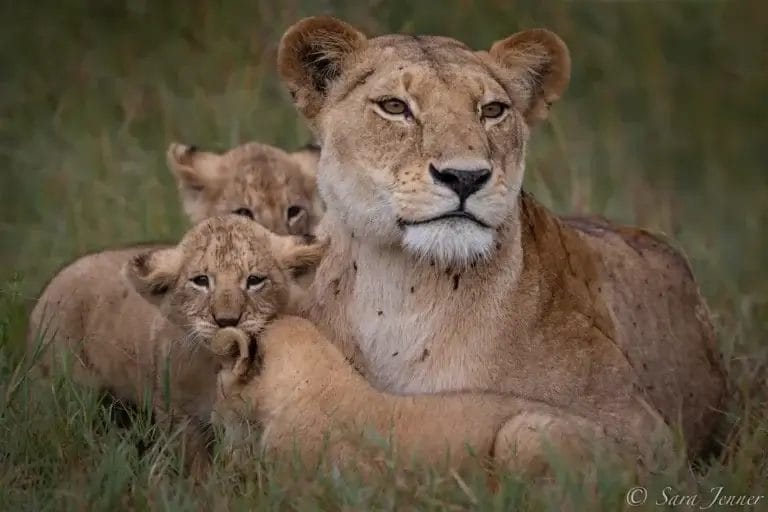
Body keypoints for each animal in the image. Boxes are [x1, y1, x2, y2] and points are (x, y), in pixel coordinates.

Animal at [28, 215, 325, 474]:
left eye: (254, 280)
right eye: (201, 281)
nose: (226, 320)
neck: (218, 366)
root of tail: (55, 281)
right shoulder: (179, 414)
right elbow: (196, 468)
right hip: (67, 391)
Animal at [275, 16, 726, 470]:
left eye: (492, 110)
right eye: (395, 107)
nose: (465, 177)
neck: (400, 292)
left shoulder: (652, 438)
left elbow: (521, 434)